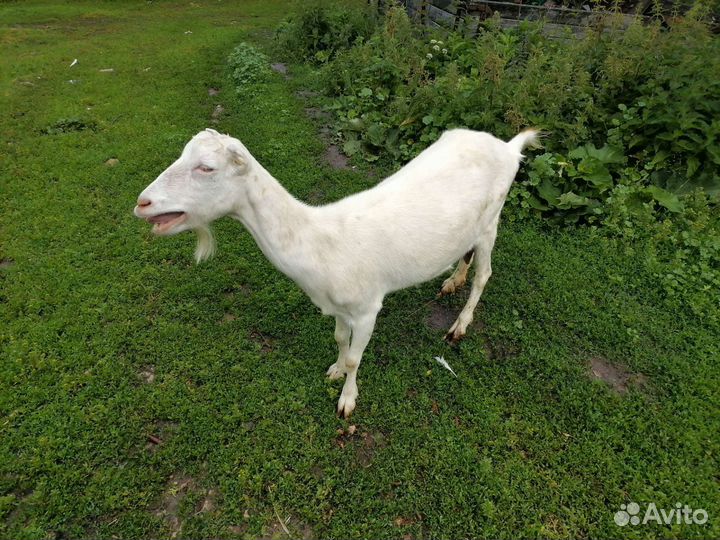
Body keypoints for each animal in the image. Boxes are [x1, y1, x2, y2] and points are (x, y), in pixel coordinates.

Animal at [134, 127, 538, 417]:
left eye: (207, 168)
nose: (142, 202)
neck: (321, 242)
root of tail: (509, 147)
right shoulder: (338, 307)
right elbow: (340, 341)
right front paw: (336, 370)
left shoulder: (367, 307)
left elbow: (356, 356)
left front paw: (347, 399)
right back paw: (452, 281)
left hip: (491, 221)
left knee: (485, 275)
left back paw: (459, 326)